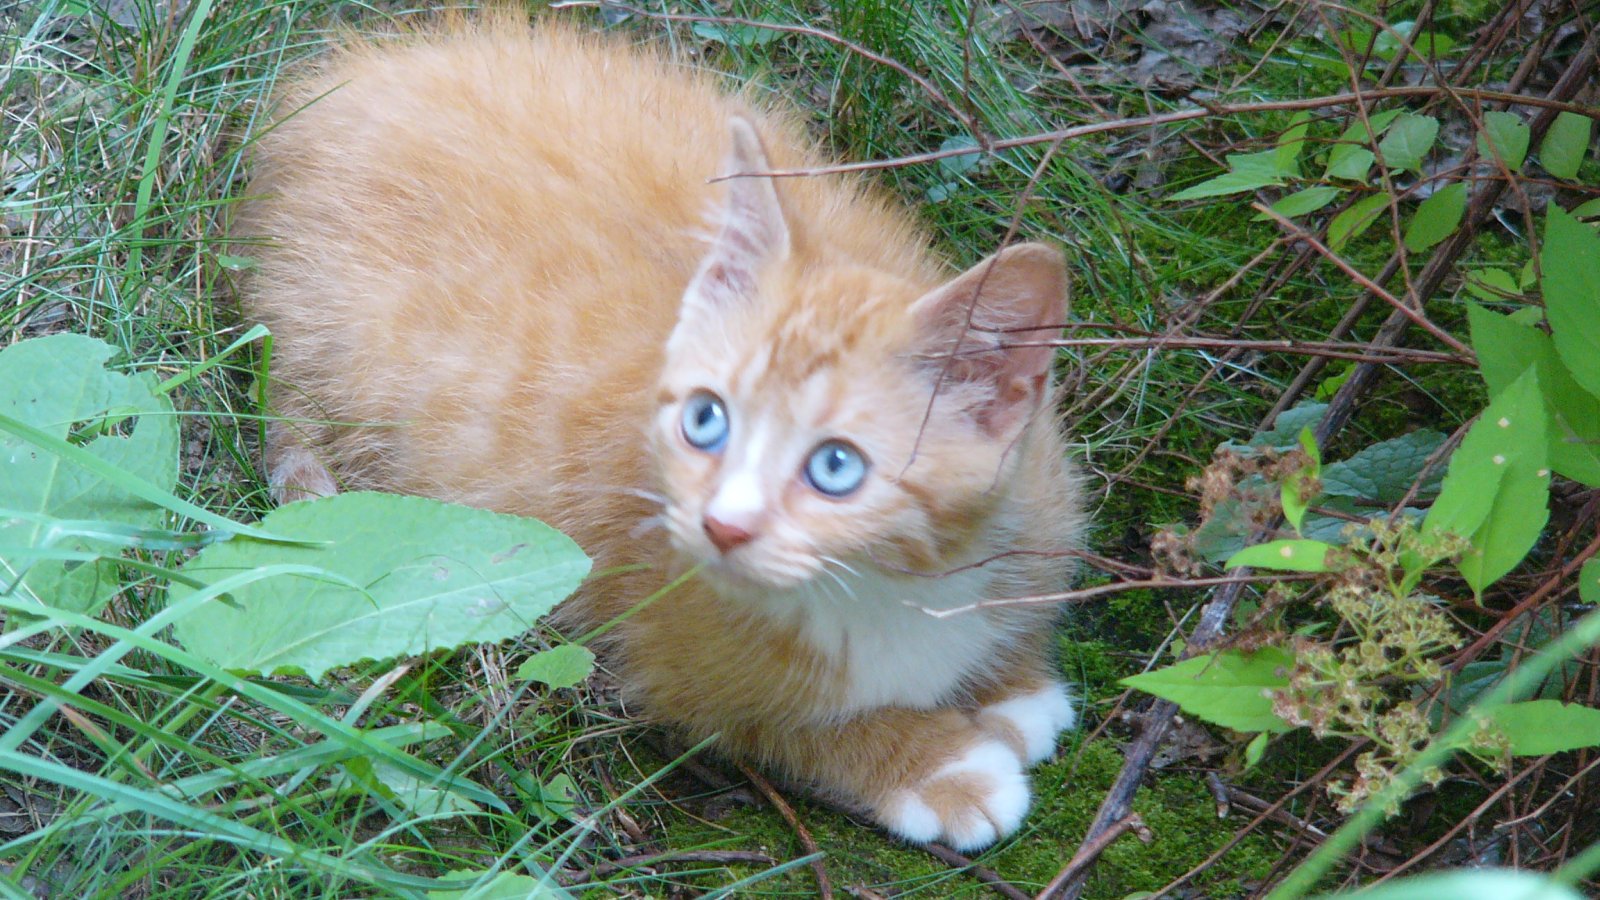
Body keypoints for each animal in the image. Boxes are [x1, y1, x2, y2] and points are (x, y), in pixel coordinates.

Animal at [236, 10, 1088, 845]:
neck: (896, 583)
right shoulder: (680, 663)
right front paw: (941, 768)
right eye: (706, 421)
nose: (722, 526)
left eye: (836, 467)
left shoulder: (1043, 497)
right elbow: (791, 726)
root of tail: (314, 109)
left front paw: (1013, 687)